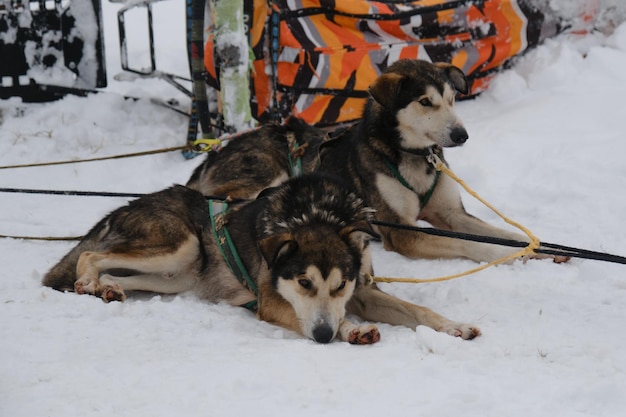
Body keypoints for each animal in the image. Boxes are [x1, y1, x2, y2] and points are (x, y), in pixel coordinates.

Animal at [41, 174, 478, 342]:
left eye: (340, 285)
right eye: (303, 283)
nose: (323, 336)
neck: (317, 214)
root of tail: (133, 202)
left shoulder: (363, 291)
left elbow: (419, 310)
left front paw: (453, 325)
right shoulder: (271, 302)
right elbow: (325, 317)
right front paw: (350, 330)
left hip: (178, 273)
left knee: (116, 273)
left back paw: (108, 288)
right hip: (181, 246)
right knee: (91, 255)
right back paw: (87, 281)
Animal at [320, 59, 564, 260]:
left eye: (451, 98)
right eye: (425, 101)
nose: (462, 135)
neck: (415, 155)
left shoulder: (451, 213)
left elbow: (505, 233)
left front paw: (543, 247)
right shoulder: (401, 231)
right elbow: (467, 243)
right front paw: (510, 254)